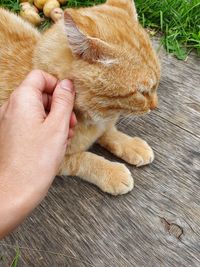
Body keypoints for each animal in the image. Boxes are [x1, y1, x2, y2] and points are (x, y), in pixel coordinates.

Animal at [0, 0, 160, 197]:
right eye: (142, 92)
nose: (155, 106)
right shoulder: (49, 159)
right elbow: (82, 159)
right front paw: (112, 172)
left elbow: (109, 132)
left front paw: (131, 145)